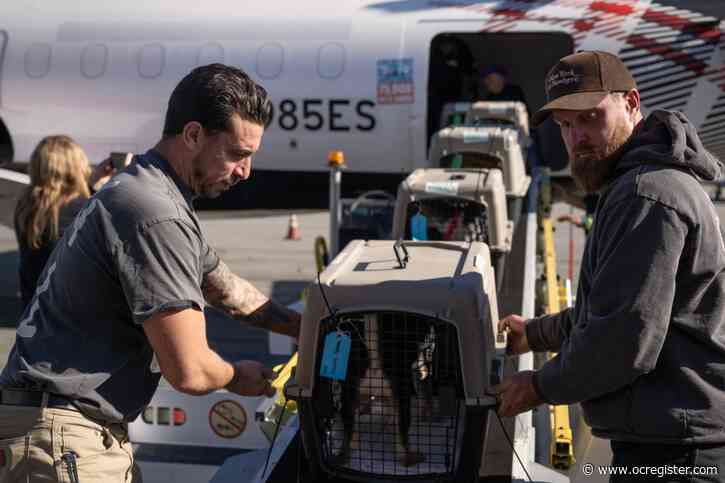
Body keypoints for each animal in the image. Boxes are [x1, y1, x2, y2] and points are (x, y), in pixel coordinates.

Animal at [316, 310, 464, 476]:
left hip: (348, 394)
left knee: (350, 430)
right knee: (402, 440)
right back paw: (411, 455)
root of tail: (374, 364)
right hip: (402, 393)